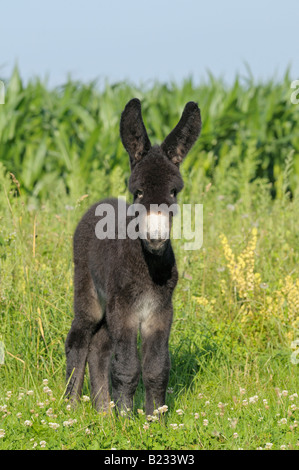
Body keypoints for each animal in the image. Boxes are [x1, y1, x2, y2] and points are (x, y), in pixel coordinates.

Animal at [65, 99, 202, 414]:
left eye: (173, 191)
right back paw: (69, 406)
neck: (148, 266)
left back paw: (103, 412)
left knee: (100, 347)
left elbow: (157, 368)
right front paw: (127, 418)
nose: (156, 238)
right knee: (79, 338)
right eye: (138, 192)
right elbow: (127, 367)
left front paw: (156, 417)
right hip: (90, 294)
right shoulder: (124, 310)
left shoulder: (160, 312)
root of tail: (99, 204)